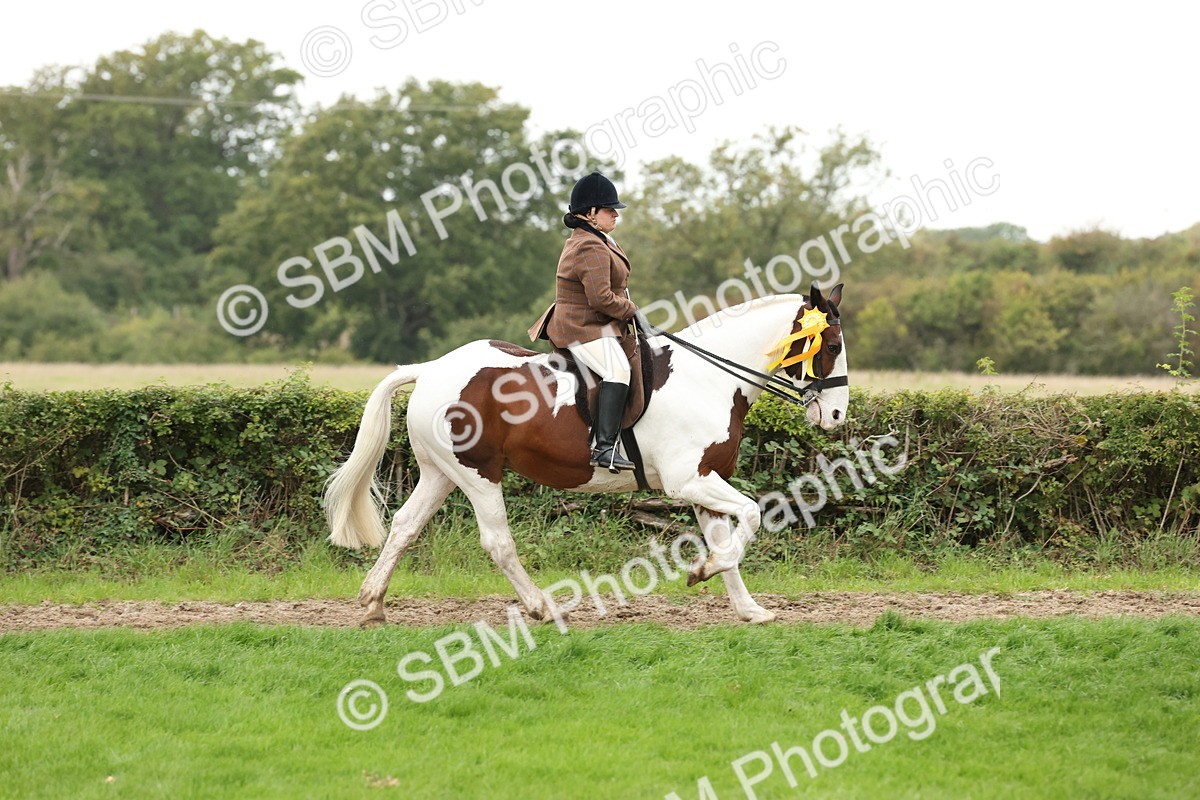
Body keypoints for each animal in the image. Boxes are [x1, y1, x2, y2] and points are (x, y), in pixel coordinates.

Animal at [325, 284, 848, 626]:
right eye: (831, 344)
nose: (838, 415)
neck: (709, 377)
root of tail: (431, 368)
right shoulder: (690, 480)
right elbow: (753, 515)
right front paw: (702, 572)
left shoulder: (707, 479)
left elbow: (726, 541)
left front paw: (749, 610)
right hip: (477, 474)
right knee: (497, 542)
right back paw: (541, 607)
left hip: (441, 472)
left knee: (405, 526)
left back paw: (372, 604)